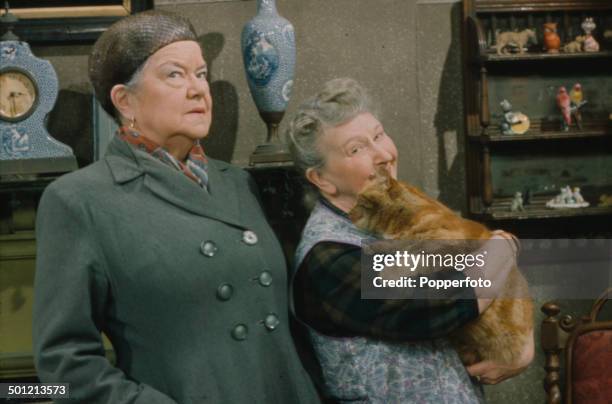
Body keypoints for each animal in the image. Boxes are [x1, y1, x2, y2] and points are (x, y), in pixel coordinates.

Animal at [346, 170, 532, 366]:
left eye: (358, 199)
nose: (348, 212)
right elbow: (397, 246)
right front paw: (374, 247)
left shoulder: (447, 243)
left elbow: (412, 254)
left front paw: (389, 273)